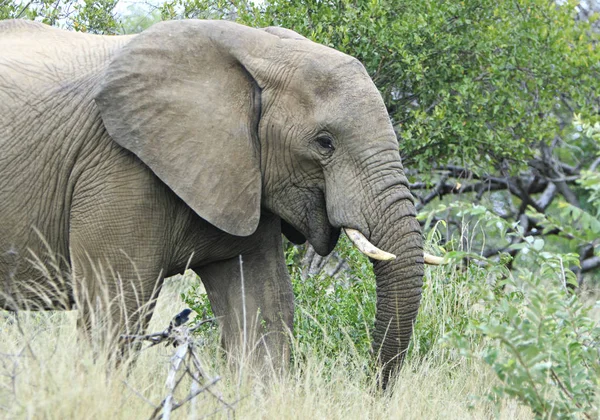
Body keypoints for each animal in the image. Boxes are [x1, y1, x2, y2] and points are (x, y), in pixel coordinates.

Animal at [0, 18, 440, 388]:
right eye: (324, 142)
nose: (369, 386)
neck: (259, 49)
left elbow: (265, 308)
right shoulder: (119, 166)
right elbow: (117, 306)